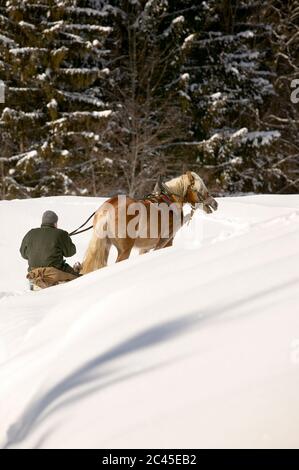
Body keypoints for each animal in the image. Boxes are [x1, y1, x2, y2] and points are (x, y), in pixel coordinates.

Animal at [81, 171, 218, 274]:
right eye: (202, 189)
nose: (215, 204)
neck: (170, 200)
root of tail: (107, 210)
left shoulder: (145, 248)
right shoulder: (167, 241)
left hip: (106, 246)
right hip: (124, 250)